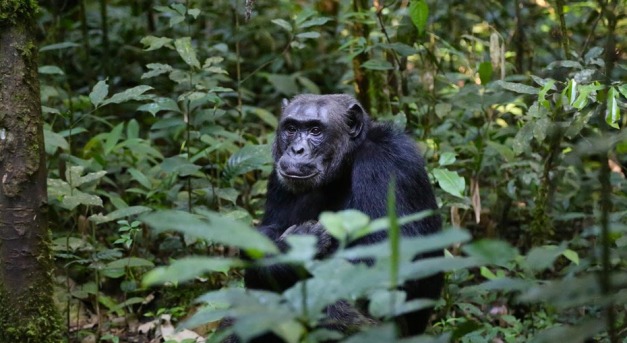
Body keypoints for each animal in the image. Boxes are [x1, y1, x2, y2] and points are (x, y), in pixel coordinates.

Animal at [240, 93, 442, 342]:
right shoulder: (278, 180)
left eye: (315, 130)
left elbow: (388, 260)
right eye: (291, 128)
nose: (297, 150)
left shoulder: (387, 164)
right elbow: (267, 230)